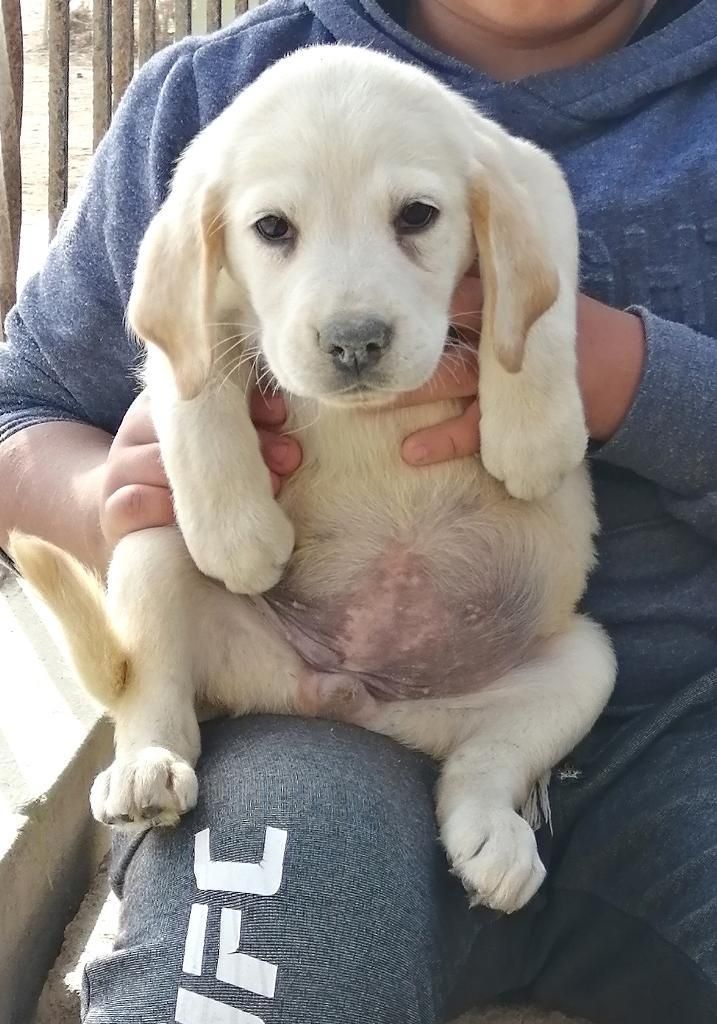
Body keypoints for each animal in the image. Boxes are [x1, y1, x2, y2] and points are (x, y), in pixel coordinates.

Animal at [11, 44, 614, 917]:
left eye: (416, 216)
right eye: (272, 229)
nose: (354, 342)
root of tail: (353, 696)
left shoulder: (537, 188)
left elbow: (538, 307)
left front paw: (533, 435)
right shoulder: (186, 312)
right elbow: (194, 388)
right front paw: (241, 536)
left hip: (584, 664)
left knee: (481, 767)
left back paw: (493, 840)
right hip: (151, 543)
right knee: (154, 695)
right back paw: (145, 769)